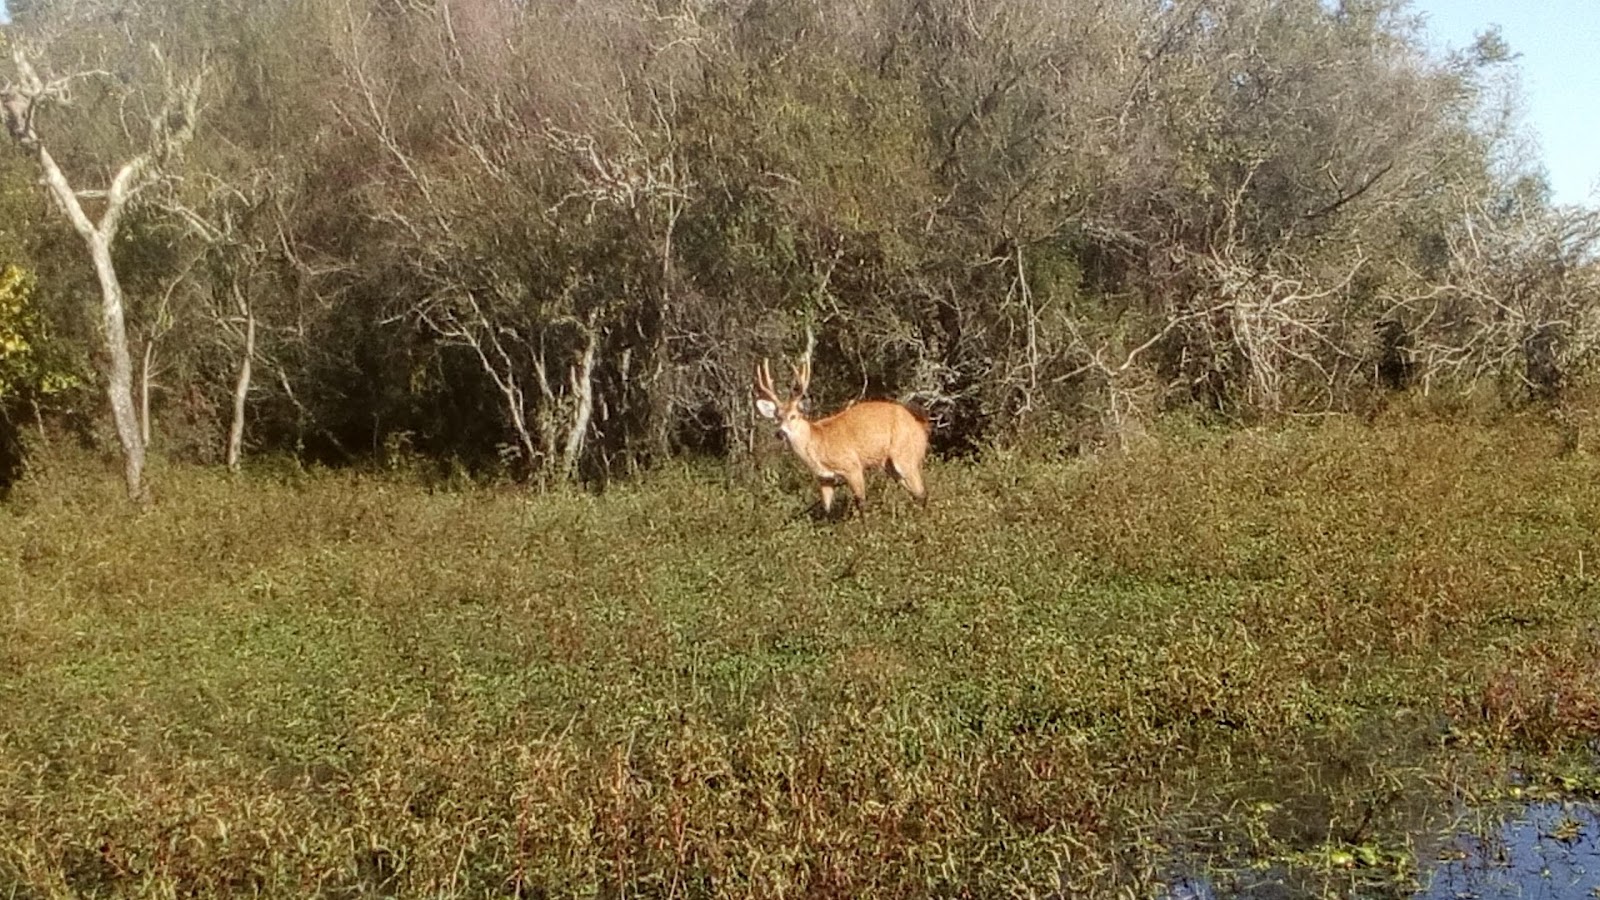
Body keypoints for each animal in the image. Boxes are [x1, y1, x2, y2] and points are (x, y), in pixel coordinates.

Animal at [753, 356, 931, 517]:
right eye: (777, 417)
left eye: (793, 416)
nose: (780, 433)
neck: (818, 443)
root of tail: (920, 426)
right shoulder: (824, 478)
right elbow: (826, 509)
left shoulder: (852, 465)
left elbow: (861, 503)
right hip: (891, 465)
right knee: (916, 492)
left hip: (905, 455)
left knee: (922, 492)